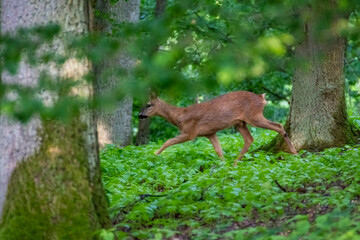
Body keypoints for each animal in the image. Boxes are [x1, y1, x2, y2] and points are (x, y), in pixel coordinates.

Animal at [139, 91, 296, 166]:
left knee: (278, 126)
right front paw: (224, 166)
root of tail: (262, 97)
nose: (140, 115)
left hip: (254, 116)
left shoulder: (190, 132)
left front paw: (154, 155)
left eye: (148, 104)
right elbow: (219, 151)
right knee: (249, 139)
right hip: (240, 123)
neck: (179, 117)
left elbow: (168, 141)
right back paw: (235, 163)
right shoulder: (210, 133)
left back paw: (294, 152)